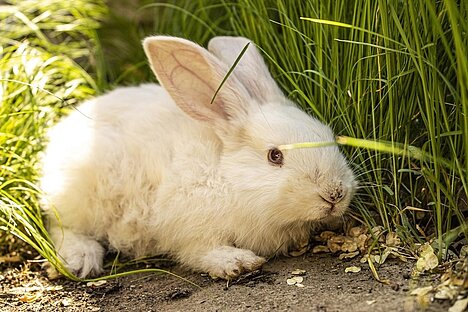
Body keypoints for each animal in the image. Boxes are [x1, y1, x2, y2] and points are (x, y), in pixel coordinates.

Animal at [41, 35, 354, 280]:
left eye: (329, 134)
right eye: (274, 156)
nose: (334, 193)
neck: (227, 178)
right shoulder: (188, 229)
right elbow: (199, 252)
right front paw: (237, 262)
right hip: (85, 196)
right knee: (61, 225)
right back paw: (82, 259)